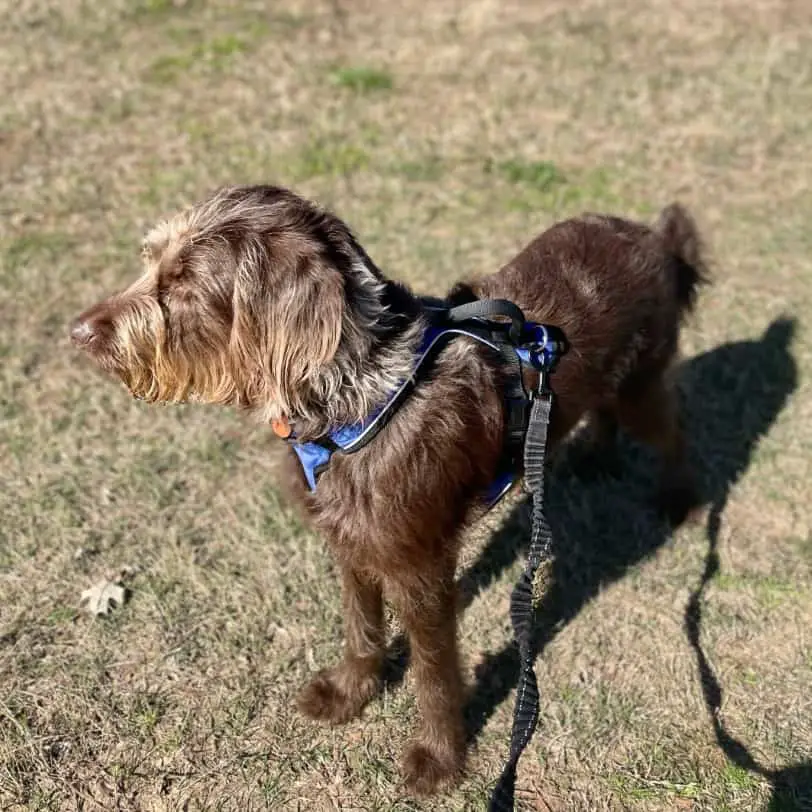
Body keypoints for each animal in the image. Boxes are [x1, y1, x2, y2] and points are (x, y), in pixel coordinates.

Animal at [71, 184, 704, 792]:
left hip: (642, 385)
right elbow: (362, 626)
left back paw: (679, 501)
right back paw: (593, 455)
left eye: (184, 283)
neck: (350, 401)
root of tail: (654, 236)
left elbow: (433, 672)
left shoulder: (418, 565)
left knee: (673, 426)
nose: (78, 333)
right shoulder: (350, 541)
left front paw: (440, 757)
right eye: (153, 260)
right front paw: (351, 691)